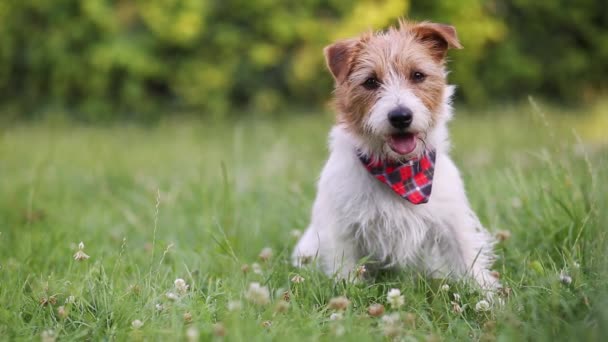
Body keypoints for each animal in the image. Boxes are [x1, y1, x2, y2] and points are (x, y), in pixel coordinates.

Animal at [290, 20, 498, 288]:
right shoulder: (343, 232)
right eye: (370, 81)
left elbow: (470, 264)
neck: (400, 170)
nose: (400, 116)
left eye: (417, 75)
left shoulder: (453, 223)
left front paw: (489, 297)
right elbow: (346, 274)